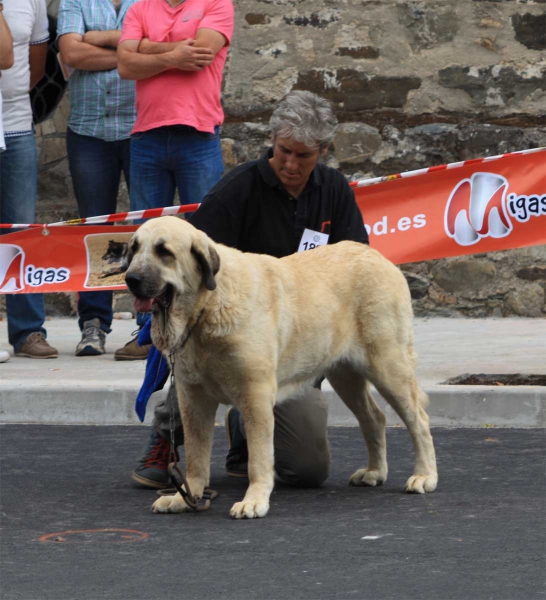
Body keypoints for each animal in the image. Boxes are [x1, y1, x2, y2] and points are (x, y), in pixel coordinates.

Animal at [125, 217, 436, 520]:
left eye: (164, 252)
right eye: (134, 249)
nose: (130, 279)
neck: (206, 308)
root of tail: (378, 257)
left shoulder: (256, 394)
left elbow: (259, 457)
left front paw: (254, 501)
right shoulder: (193, 397)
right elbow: (196, 455)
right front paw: (186, 496)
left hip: (388, 365)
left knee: (418, 420)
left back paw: (424, 476)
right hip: (345, 374)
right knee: (374, 418)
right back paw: (375, 472)